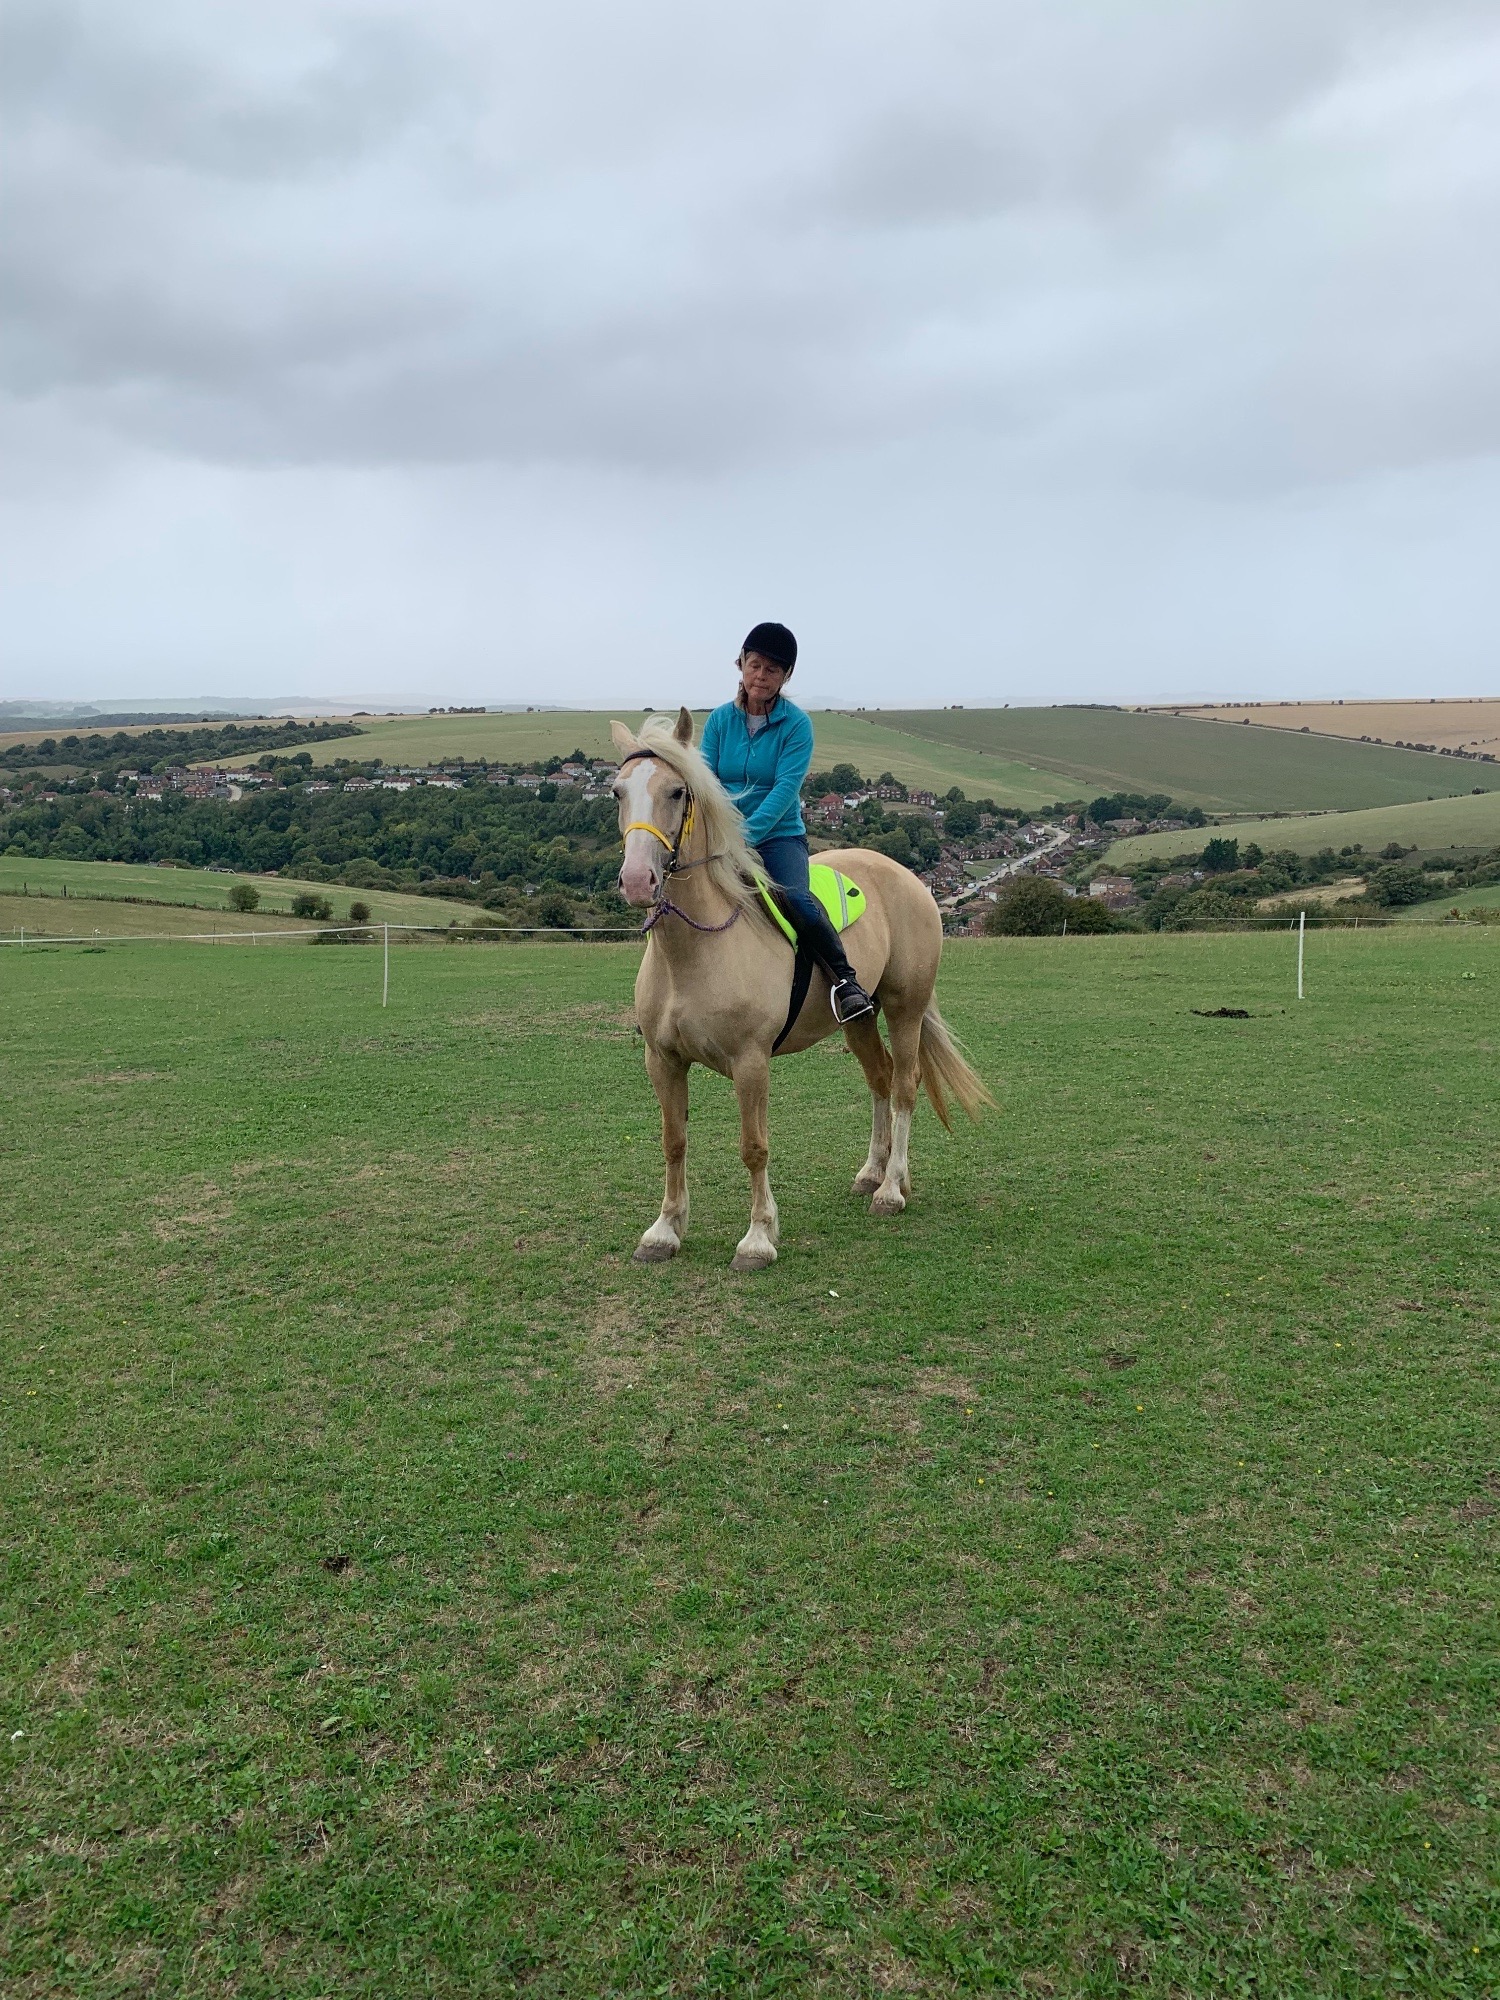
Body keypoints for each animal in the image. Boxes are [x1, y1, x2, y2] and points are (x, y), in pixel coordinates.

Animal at [611, 708, 992, 1270]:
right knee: (880, 1079)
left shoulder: (751, 1062)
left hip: (905, 1008)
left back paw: (892, 1190)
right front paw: (664, 1231)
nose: (638, 881)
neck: (694, 952)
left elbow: (754, 1146)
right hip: (860, 1017)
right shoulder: (663, 1060)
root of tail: (908, 877)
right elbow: (674, 1141)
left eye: (677, 792)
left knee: (905, 1084)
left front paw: (758, 1238)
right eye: (618, 792)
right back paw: (873, 1173)